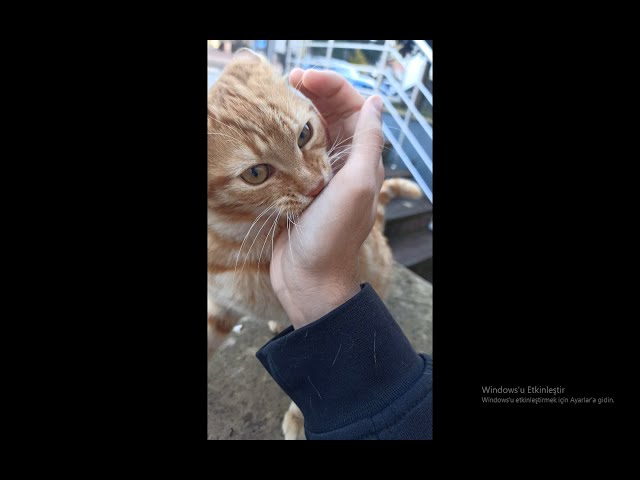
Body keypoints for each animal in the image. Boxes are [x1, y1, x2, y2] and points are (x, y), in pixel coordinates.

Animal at [208, 50, 422, 440]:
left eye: (304, 134)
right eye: (256, 174)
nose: (316, 185)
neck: (235, 237)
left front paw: (299, 418)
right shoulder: (218, 306)